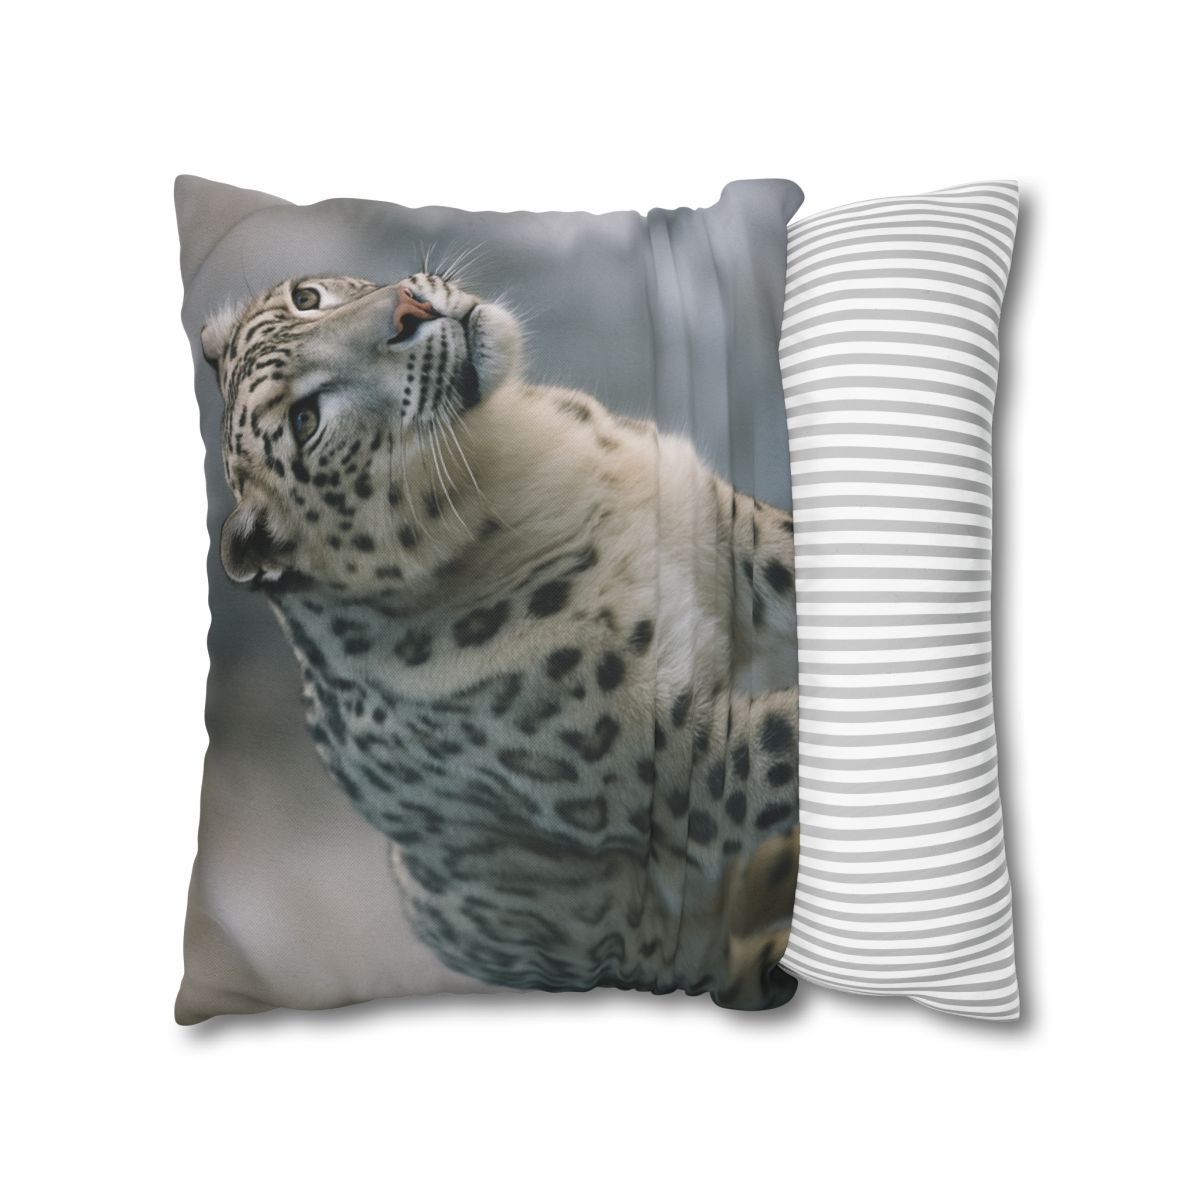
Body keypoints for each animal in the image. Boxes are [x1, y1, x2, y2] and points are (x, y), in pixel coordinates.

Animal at [201, 272, 801, 1009]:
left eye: (306, 297)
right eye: (306, 421)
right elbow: (789, 738)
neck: (522, 466)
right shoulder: (694, 765)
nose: (408, 311)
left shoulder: (730, 531)